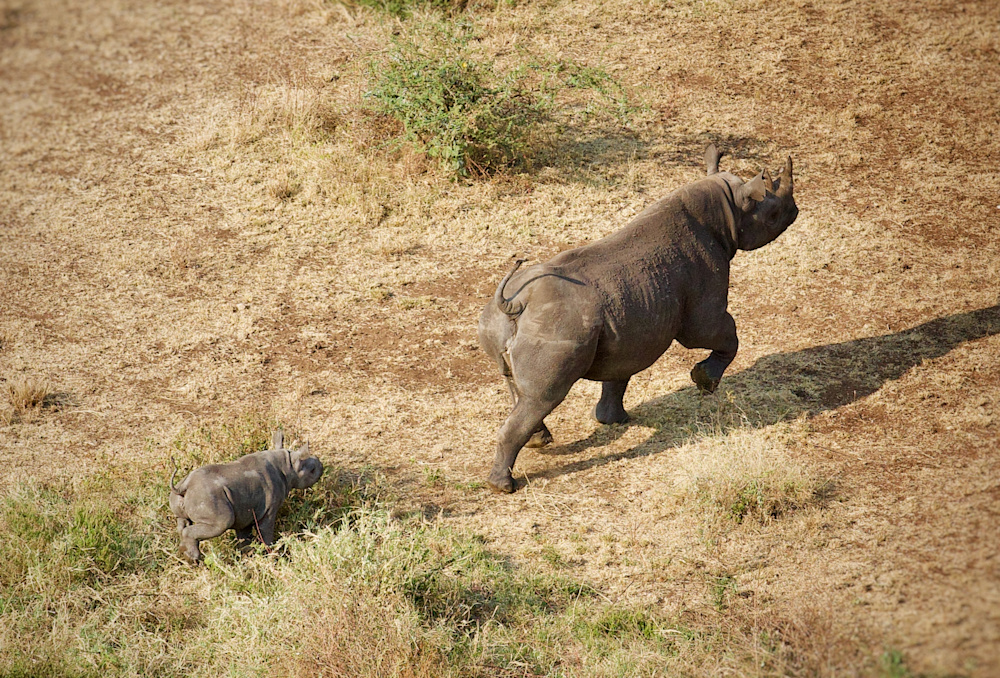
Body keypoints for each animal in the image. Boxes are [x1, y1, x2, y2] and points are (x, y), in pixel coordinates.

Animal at [169, 430, 324, 562]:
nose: (322, 466)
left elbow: (244, 538)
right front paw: (272, 556)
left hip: (186, 496)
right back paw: (193, 559)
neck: (288, 464)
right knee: (222, 523)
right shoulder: (268, 510)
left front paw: (247, 557)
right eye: (312, 470)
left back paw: (184, 554)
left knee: (182, 520)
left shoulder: (245, 511)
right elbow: (265, 531)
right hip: (207, 497)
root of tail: (185, 485)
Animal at [477, 144, 799, 493]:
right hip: (554, 329)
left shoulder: (628, 325)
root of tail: (516, 301)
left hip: (504, 322)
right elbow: (725, 333)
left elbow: (619, 372)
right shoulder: (701, 310)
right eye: (774, 213)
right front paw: (704, 381)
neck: (730, 206)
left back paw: (538, 443)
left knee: (519, 386)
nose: (795, 211)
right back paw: (504, 486)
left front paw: (613, 419)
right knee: (544, 396)